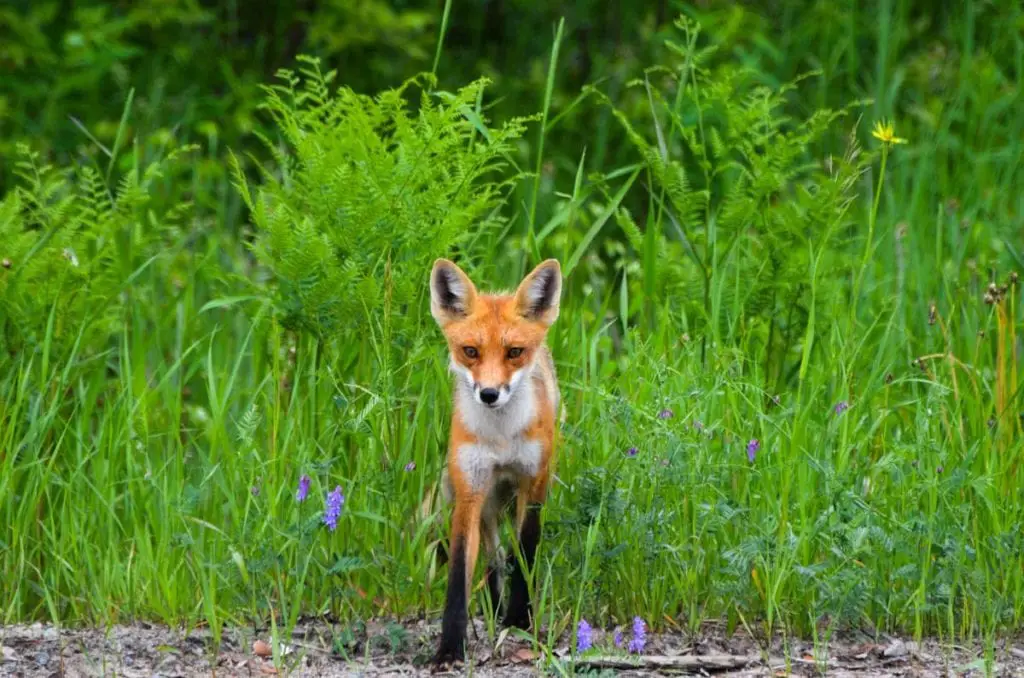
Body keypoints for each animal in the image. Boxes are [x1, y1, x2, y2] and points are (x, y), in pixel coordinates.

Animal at [428, 258, 565, 667]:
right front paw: (449, 647)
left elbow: (525, 552)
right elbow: (460, 572)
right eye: (470, 351)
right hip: (484, 498)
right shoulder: (470, 489)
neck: (501, 438)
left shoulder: (534, 482)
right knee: (491, 557)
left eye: (514, 352)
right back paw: (492, 604)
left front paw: (519, 620)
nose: (489, 394)